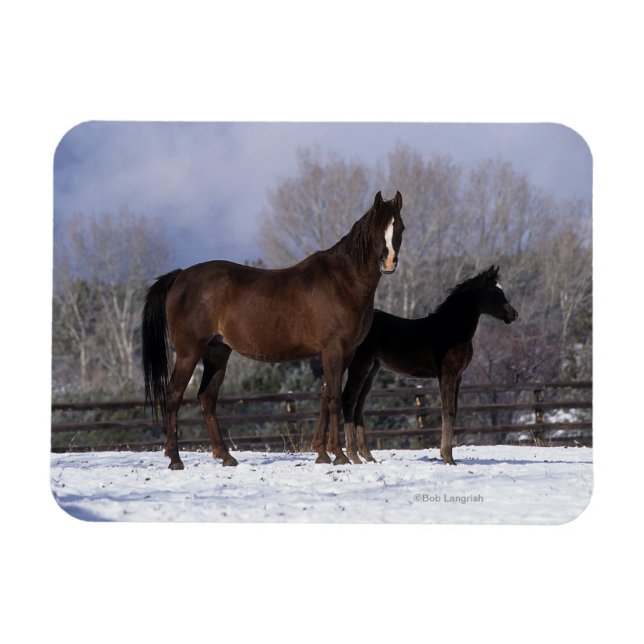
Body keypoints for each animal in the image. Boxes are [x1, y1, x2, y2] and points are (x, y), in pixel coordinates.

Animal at [142, 191, 405, 469]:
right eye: (377, 229)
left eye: (399, 227)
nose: (389, 262)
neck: (342, 281)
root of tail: (180, 276)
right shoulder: (333, 350)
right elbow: (334, 398)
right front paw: (339, 455)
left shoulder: (345, 353)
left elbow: (324, 398)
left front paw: (321, 453)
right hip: (188, 352)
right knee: (174, 395)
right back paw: (175, 459)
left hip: (217, 351)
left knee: (207, 398)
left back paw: (226, 456)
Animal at [341, 265, 518, 465]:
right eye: (494, 292)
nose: (513, 314)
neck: (452, 330)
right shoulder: (447, 374)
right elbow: (447, 411)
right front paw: (448, 457)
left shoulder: (458, 377)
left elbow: (454, 410)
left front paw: (447, 455)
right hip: (360, 365)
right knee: (348, 400)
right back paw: (353, 456)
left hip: (372, 369)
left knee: (359, 406)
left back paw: (368, 456)